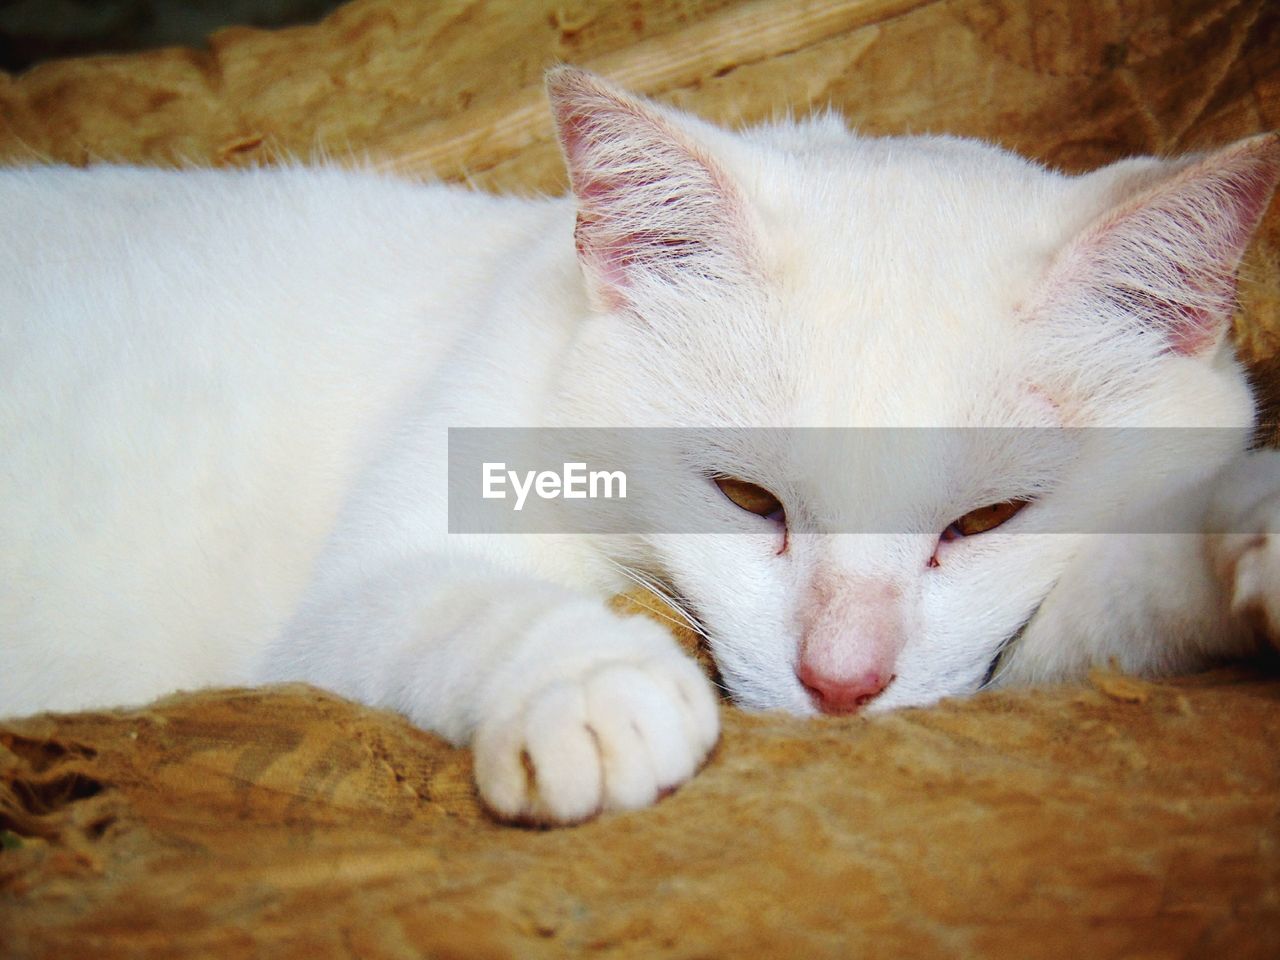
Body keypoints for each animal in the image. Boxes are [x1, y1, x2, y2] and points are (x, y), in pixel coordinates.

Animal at [2, 67, 1280, 824]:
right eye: (746, 498)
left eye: (983, 522)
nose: (840, 684)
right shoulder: (349, 595)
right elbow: (446, 602)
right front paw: (590, 681)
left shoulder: (1009, 658)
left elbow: (1117, 605)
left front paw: (1247, 535)